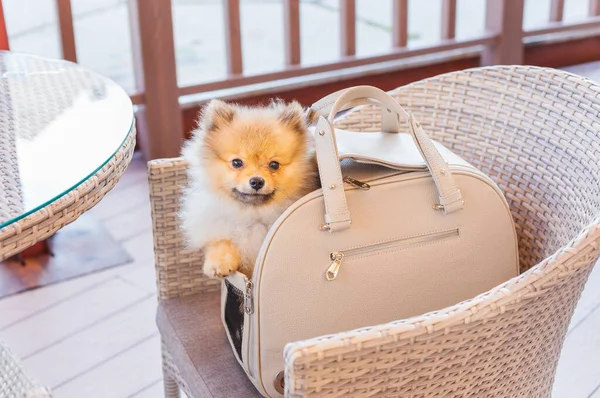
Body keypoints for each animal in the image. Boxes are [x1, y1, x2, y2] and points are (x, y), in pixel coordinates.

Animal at [179, 98, 318, 280]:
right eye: (237, 163)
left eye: (274, 165)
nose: (257, 181)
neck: (252, 215)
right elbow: (221, 241)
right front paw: (219, 263)